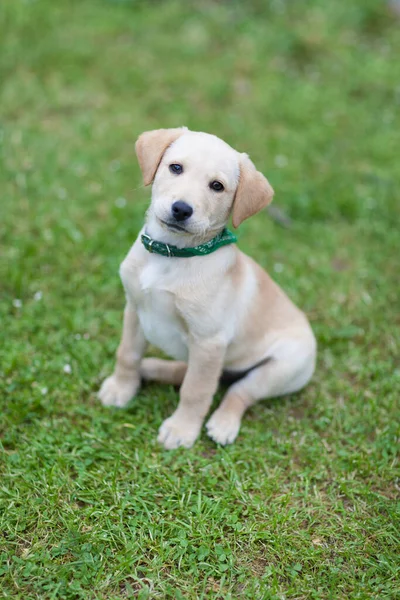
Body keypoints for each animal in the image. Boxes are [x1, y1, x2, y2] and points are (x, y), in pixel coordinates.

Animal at [98, 126, 318, 448]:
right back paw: (150, 368)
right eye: (176, 167)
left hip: (280, 368)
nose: (181, 209)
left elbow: (196, 390)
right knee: (192, 373)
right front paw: (121, 389)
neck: (171, 255)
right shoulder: (135, 310)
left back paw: (223, 423)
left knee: (237, 391)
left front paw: (181, 430)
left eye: (217, 186)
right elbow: (127, 354)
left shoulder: (209, 341)